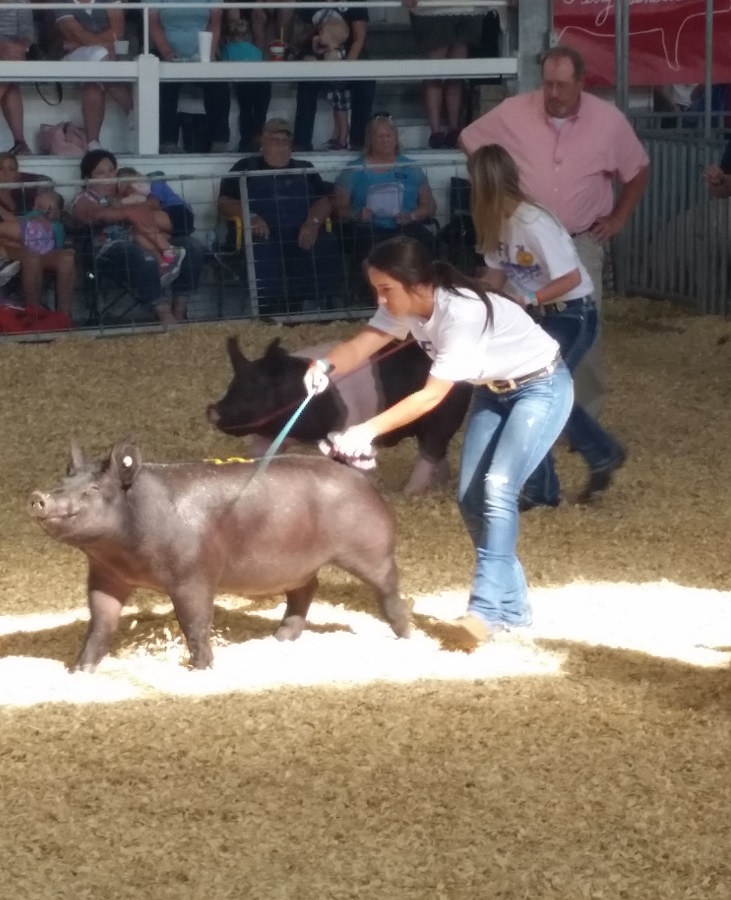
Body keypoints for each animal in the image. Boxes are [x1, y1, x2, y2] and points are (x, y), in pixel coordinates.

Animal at [28, 437, 413, 672]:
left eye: (93, 489)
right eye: (64, 481)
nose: (39, 495)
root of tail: (363, 482)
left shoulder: (193, 577)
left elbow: (195, 623)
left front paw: (201, 669)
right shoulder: (105, 576)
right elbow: (100, 623)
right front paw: (80, 670)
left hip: (371, 550)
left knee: (389, 586)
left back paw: (405, 634)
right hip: (300, 566)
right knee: (306, 590)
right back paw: (280, 638)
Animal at [206, 337, 473, 495]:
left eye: (257, 389)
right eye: (233, 384)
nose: (213, 410)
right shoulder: (266, 436)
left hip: (443, 417)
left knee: (430, 450)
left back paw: (409, 493)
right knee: (437, 452)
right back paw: (440, 484)